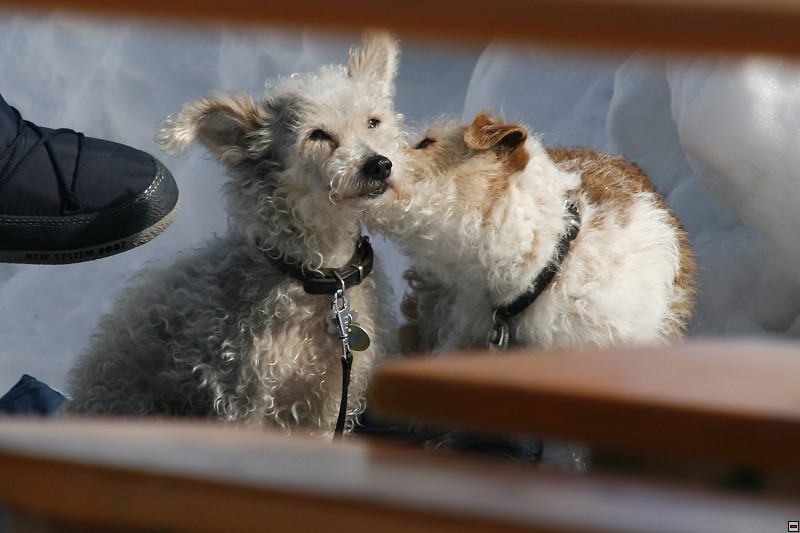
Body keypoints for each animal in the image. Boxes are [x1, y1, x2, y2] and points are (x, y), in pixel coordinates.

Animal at [62, 32, 404, 436]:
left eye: (373, 122)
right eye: (317, 135)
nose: (379, 165)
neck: (321, 278)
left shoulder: (330, 399)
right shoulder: (241, 394)